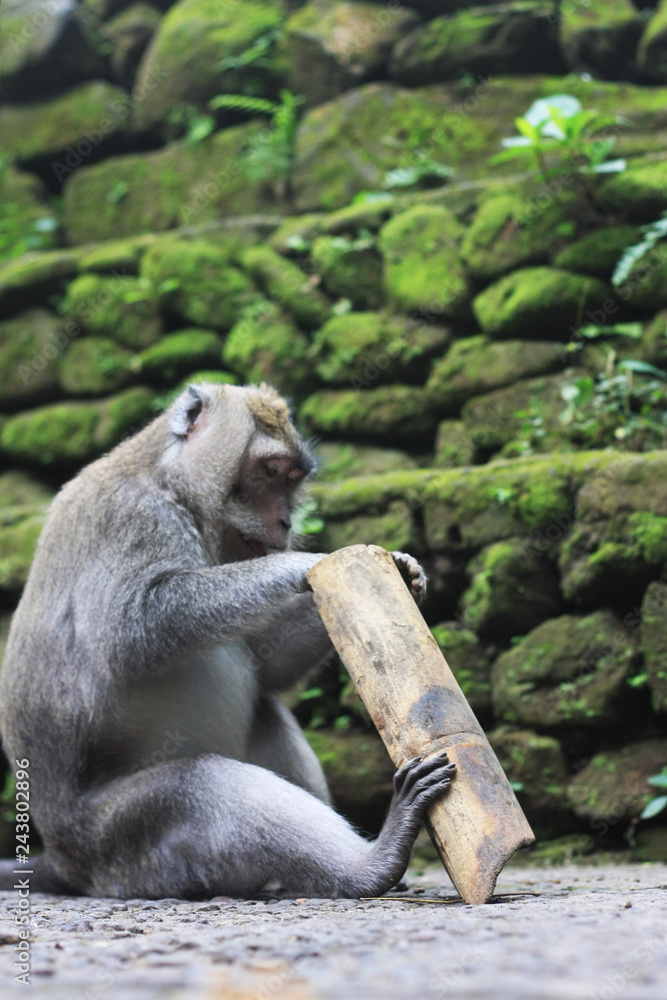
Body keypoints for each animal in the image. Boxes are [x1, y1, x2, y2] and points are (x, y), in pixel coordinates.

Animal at [0, 382, 455, 899]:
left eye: (292, 480)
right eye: (270, 471)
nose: (285, 521)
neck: (169, 483)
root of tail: (61, 858)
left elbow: (266, 667)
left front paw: (403, 569)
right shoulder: (129, 516)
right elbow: (131, 629)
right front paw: (299, 564)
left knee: (266, 709)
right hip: (117, 843)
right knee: (197, 787)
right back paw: (373, 862)